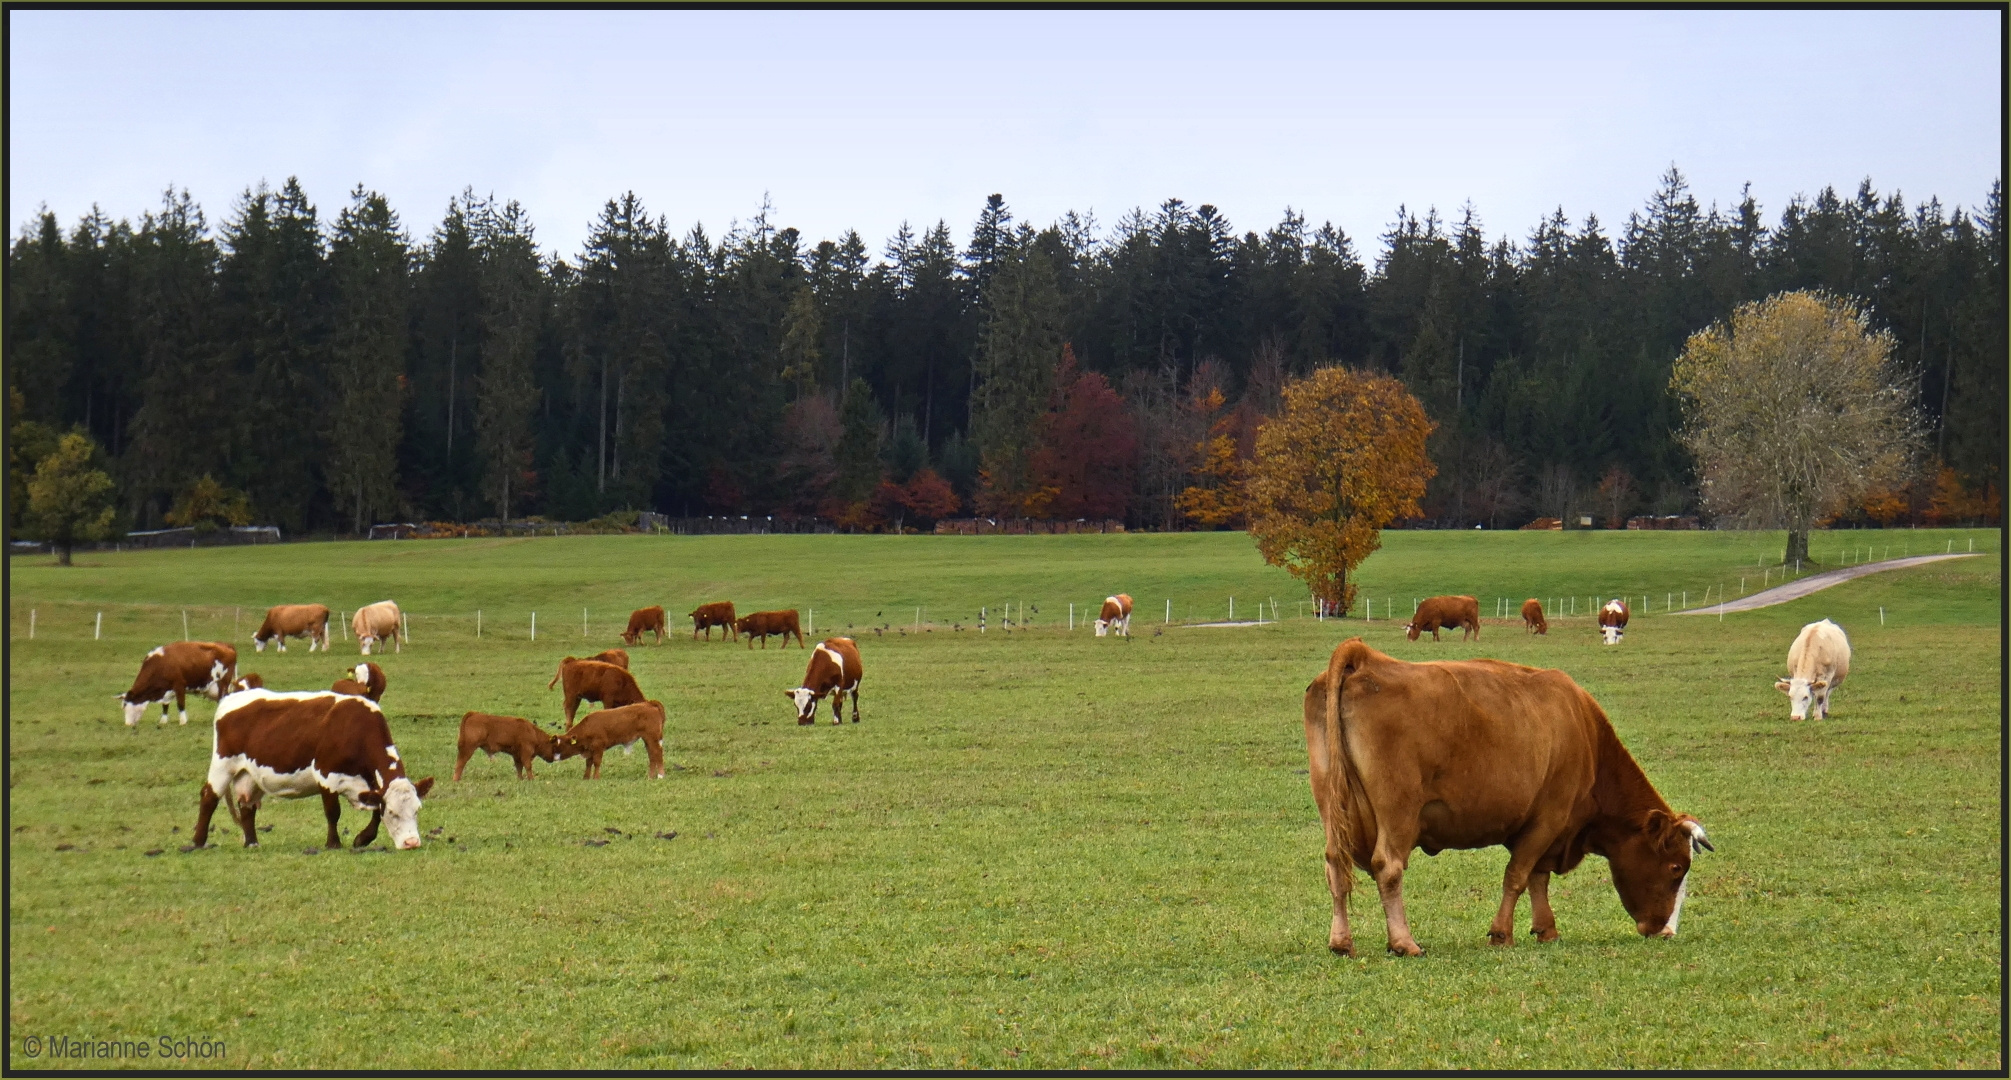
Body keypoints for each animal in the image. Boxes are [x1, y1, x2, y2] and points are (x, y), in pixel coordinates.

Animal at [190, 691, 434, 848]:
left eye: (417, 810)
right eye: (393, 813)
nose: (412, 843)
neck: (355, 728)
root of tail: (230, 698)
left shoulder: (370, 786)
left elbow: (375, 811)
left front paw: (362, 839)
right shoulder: (326, 776)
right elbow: (333, 812)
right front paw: (333, 843)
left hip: (250, 775)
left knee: (247, 805)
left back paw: (252, 843)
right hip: (223, 765)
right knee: (209, 797)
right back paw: (198, 841)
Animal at [1303, 635, 1713, 957]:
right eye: (1676, 868)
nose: (1665, 930)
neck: (1585, 735)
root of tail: (1364, 658)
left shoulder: (1550, 831)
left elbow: (1537, 877)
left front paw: (1546, 928)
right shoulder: (1548, 819)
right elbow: (1518, 875)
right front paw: (1502, 933)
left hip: (1331, 806)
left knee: (1334, 865)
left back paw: (1341, 942)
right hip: (1399, 812)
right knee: (1388, 867)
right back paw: (1404, 942)